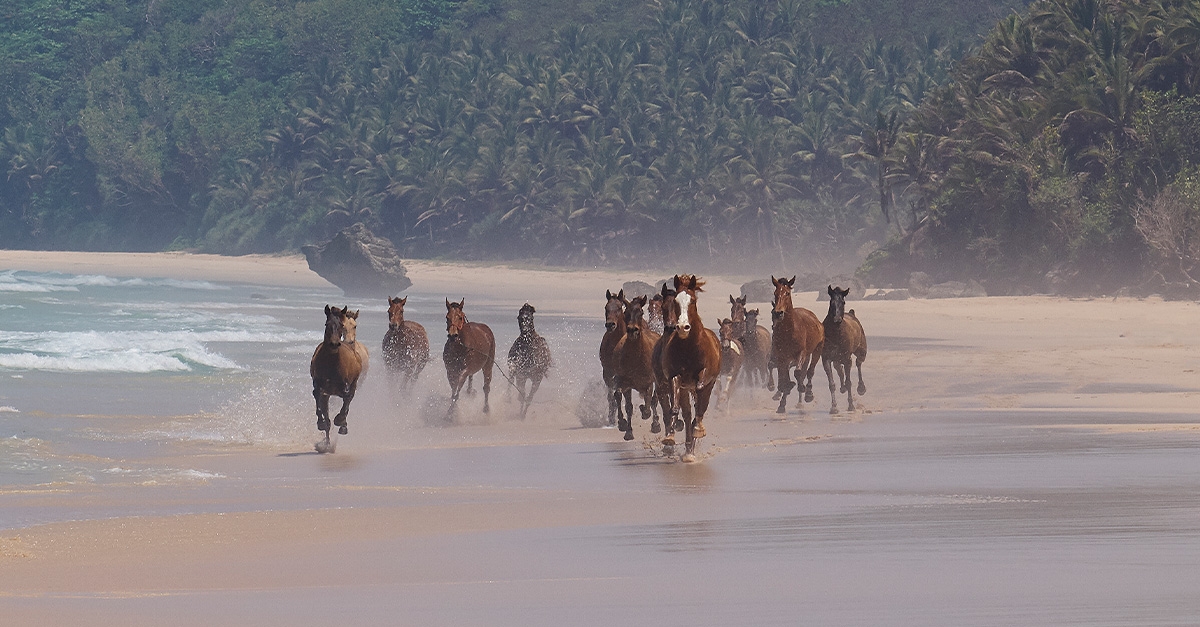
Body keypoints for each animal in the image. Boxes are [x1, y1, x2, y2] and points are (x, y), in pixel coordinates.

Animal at [309, 303, 364, 444]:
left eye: (341, 325)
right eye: (327, 324)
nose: (334, 344)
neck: (331, 364)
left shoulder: (346, 385)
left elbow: (346, 400)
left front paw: (340, 422)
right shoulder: (320, 387)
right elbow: (318, 400)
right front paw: (322, 423)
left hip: (354, 382)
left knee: (349, 398)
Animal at [614, 294, 662, 437]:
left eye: (641, 312)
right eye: (625, 312)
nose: (632, 330)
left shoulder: (648, 382)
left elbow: (649, 403)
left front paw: (648, 416)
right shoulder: (625, 382)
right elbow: (626, 404)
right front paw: (626, 429)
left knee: (654, 399)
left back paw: (655, 423)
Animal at [657, 271, 720, 458]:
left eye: (692, 300)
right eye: (676, 301)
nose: (682, 327)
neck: (689, 347)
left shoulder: (704, 376)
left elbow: (700, 399)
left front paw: (698, 429)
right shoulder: (675, 377)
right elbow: (675, 407)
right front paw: (669, 436)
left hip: (711, 383)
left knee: (700, 407)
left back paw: (692, 445)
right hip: (684, 389)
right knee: (686, 413)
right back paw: (687, 449)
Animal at [768, 275, 825, 413]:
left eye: (787, 293)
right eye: (775, 293)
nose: (778, 313)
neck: (789, 330)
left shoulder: (801, 352)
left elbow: (798, 373)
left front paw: (801, 388)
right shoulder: (782, 356)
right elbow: (784, 377)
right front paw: (782, 403)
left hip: (817, 348)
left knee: (810, 371)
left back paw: (808, 392)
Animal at [820, 284, 868, 413]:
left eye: (843, 301)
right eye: (831, 301)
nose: (837, 319)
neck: (836, 333)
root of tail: (852, 314)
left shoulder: (847, 359)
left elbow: (849, 381)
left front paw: (851, 405)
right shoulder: (826, 359)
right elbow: (832, 384)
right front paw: (834, 407)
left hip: (861, 351)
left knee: (858, 363)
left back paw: (861, 388)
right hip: (837, 359)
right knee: (839, 369)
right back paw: (842, 388)